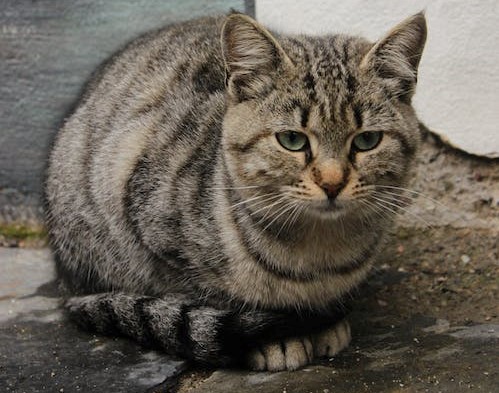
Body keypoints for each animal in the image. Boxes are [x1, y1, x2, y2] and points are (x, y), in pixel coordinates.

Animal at [47, 10, 428, 370]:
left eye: (367, 140)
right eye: (292, 140)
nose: (332, 182)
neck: (319, 252)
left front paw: (326, 324)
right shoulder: (153, 230)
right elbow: (210, 296)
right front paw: (279, 338)